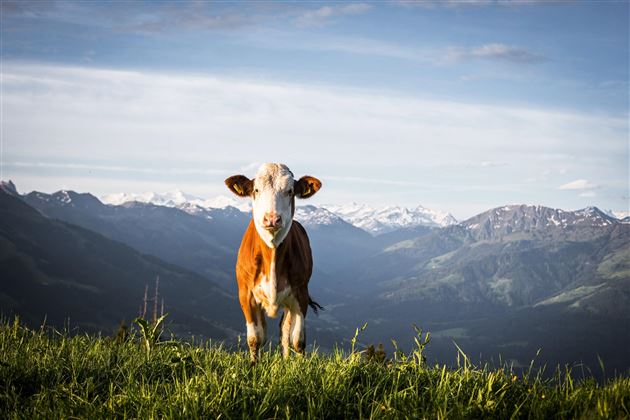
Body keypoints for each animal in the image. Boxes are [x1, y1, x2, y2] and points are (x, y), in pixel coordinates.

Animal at [226, 163, 324, 360]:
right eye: (256, 189)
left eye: (290, 191)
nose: (272, 218)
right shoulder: (245, 294)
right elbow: (255, 338)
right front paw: (253, 364)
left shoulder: (300, 293)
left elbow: (298, 340)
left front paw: (300, 365)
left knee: (285, 331)